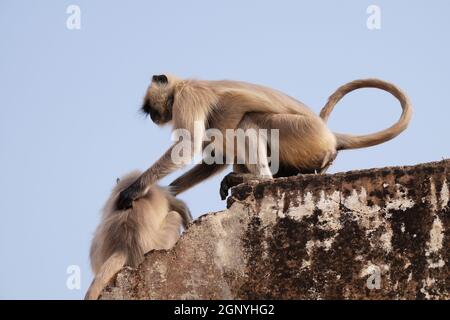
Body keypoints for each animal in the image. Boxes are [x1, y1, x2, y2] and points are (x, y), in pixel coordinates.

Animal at [115, 75, 412, 210]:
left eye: (150, 108)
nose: (154, 116)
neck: (183, 85)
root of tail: (329, 134)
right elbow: (215, 157)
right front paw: (167, 193)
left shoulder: (189, 97)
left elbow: (188, 146)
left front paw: (134, 190)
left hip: (302, 135)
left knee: (247, 122)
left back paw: (259, 179)